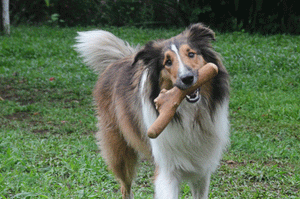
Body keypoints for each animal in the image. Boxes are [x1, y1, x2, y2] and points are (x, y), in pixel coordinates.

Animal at [75, 23, 230, 199]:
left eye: (191, 54)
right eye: (167, 62)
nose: (187, 78)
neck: (189, 115)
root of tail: (119, 59)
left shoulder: (202, 170)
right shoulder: (167, 170)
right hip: (119, 152)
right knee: (125, 187)